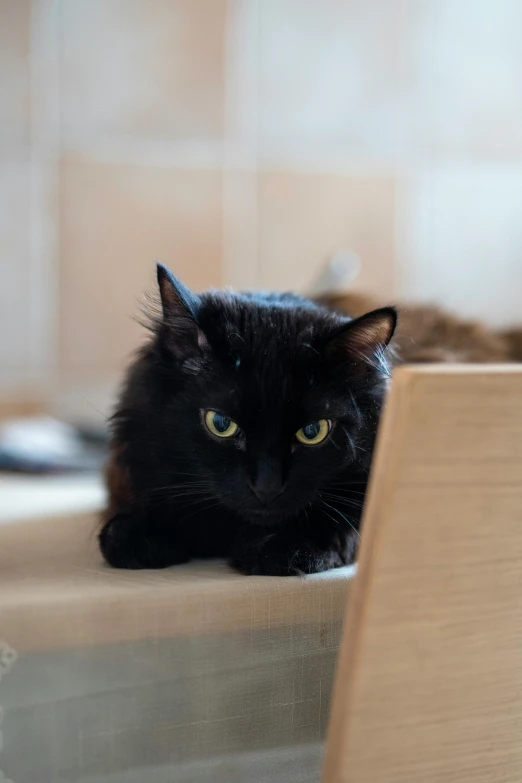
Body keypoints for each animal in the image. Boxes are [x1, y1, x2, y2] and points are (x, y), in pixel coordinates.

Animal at [98, 266, 394, 580]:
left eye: (313, 431)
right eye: (220, 423)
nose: (267, 486)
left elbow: (338, 528)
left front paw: (282, 549)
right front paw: (140, 535)